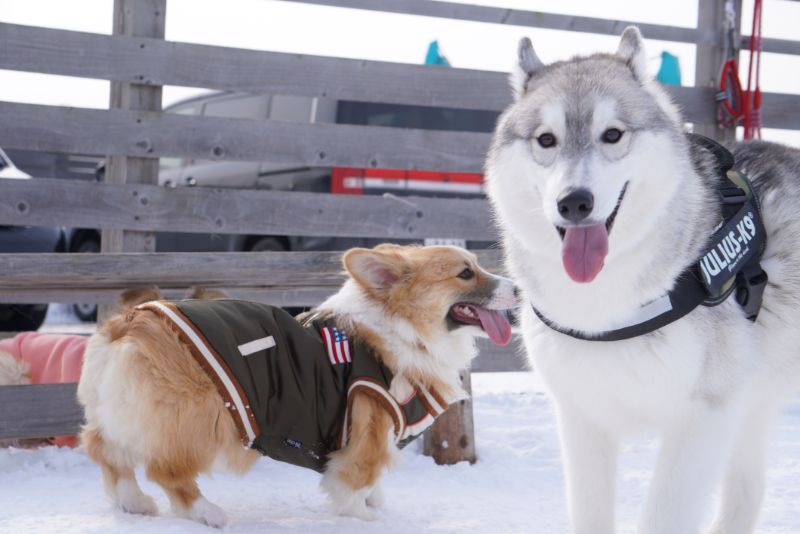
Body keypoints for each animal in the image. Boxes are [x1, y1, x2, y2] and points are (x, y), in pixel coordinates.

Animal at [78, 246, 516, 528]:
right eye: (465, 272)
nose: (518, 287)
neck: (403, 329)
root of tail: (129, 322)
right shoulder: (369, 428)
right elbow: (356, 482)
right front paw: (368, 517)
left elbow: (373, 483)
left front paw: (377, 502)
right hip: (202, 418)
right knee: (165, 470)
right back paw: (206, 512)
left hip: (125, 415)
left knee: (106, 451)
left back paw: (133, 502)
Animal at [484, 27, 800, 534]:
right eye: (546, 140)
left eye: (612, 134)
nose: (575, 202)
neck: (604, 309)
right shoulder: (582, 418)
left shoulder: (702, 419)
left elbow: (661, 518)